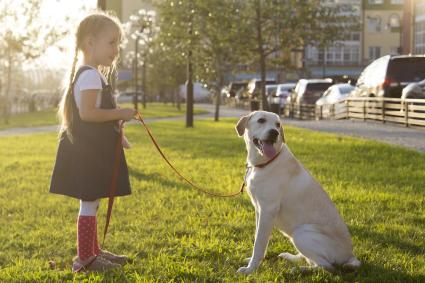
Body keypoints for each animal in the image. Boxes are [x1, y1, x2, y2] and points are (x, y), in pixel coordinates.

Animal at [234, 111, 360, 276]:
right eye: (261, 120)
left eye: (278, 125)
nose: (274, 133)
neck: (266, 162)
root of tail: (350, 255)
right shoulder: (259, 210)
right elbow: (258, 239)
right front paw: (252, 261)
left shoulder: (267, 211)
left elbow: (259, 244)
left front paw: (250, 269)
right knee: (311, 259)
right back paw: (291, 257)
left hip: (301, 232)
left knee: (327, 266)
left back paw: (297, 270)